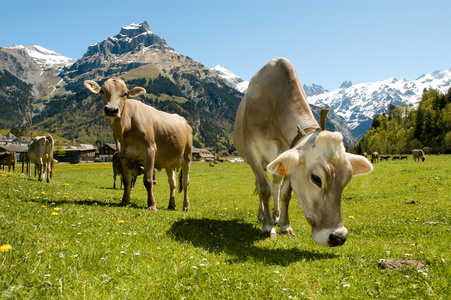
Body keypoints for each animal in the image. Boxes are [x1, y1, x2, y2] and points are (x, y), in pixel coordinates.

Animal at [85, 77, 192, 211]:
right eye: (102, 91)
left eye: (125, 93)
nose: (111, 109)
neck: (126, 128)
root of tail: (186, 123)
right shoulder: (123, 154)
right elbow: (126, 180)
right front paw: (125, 201)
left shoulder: (150, 150)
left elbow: (148, 180)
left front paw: (152, 204)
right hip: (169, 162)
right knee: (172, 182)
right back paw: (171, 204)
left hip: (187, 156)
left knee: (185, 182)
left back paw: (186, 206)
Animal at [233, 57, 374, 247]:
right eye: (316, 179)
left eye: (347, 178)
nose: (338, 237)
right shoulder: (252, 148)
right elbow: (264, 188)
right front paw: (268, 227)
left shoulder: (289, 154)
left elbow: (286, 193)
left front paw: (285, 225)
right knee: (261, 184)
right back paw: (263, 215)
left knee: (276, 182)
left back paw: (276, 215)